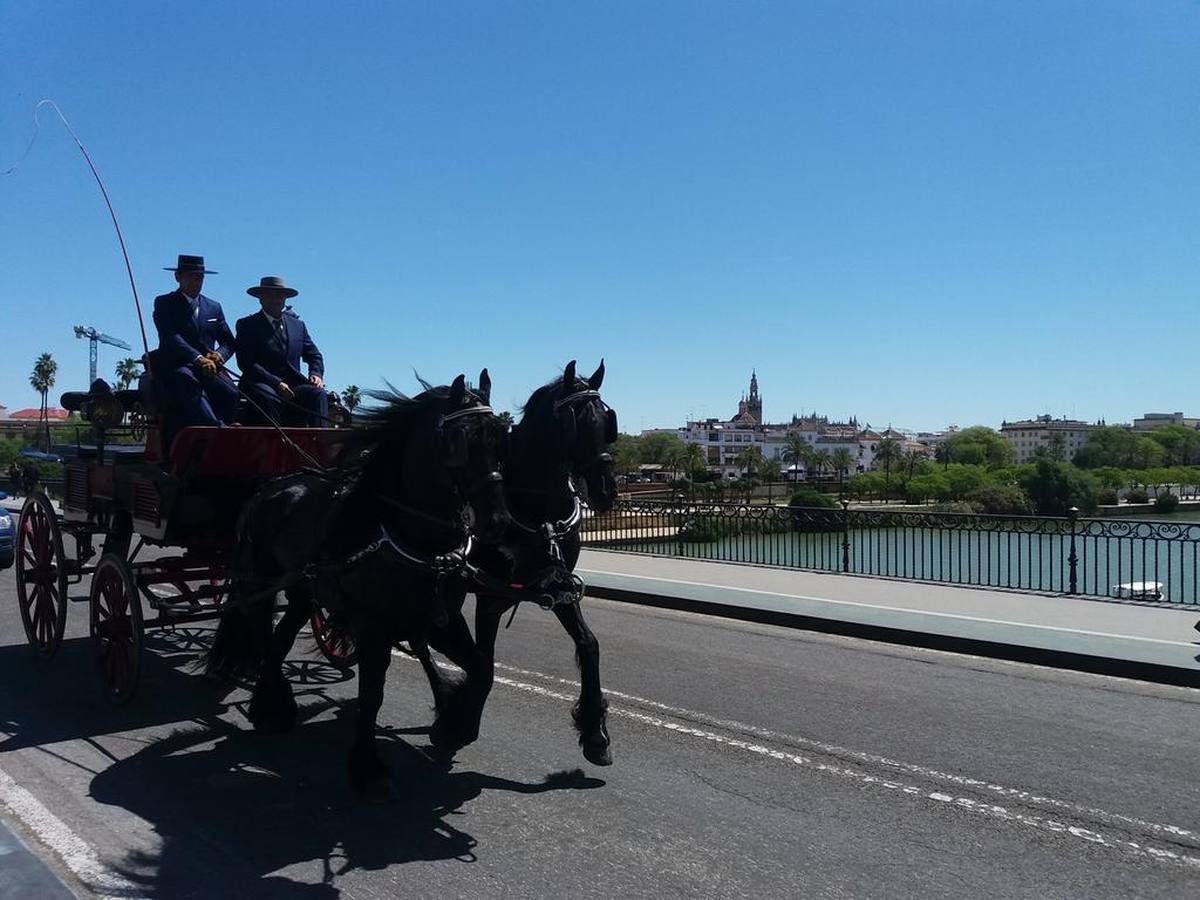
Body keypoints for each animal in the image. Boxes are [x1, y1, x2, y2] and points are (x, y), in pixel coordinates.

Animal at [206, 372, 511, 796]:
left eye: (501, 438)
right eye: (460, 441)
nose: (499, 523)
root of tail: (269, 487)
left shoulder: (442, 620)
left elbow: (482, 668)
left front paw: (454, 725)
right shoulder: (372, 627)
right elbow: (372, 695)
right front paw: (368, 769)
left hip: (302, 592)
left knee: (280, 637)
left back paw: (274, 706)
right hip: (259, 581)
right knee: (260, 628)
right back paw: (273, 702)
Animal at [415, 362, 619, 768]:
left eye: (607, 422)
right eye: (575, 422)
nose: (606, 490)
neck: (534, 510)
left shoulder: (559, 588)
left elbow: (588, 644)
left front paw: (595, 732)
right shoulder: (489, 596)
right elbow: (485, 660)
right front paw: (460, 722)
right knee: (420, 637)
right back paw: (443, 702)